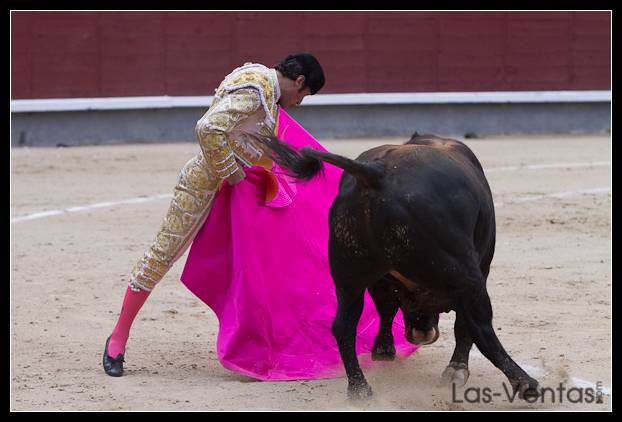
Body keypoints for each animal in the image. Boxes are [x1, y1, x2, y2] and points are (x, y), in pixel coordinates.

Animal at [255, 134, 540, 400]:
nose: (422, 333)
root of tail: (376, 174)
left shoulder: (380, 279)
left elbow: (387, 308)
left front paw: (383, 350)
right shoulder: (481, 267)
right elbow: (464, 325)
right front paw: (456, 369)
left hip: (348, 275)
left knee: (343, 325)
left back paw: (360, 389)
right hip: (465, 275)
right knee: (481, 328)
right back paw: (525, 383)